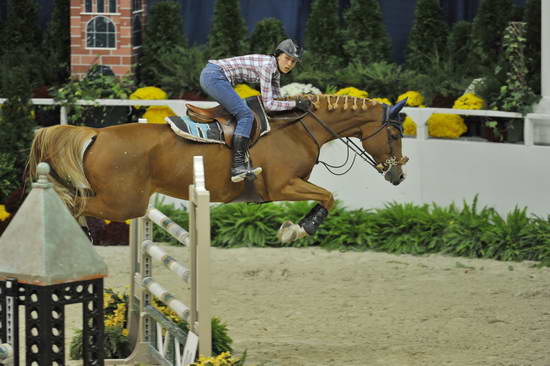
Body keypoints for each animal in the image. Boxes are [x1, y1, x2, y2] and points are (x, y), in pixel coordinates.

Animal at [29, 95, 410, 243]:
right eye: (394, 134)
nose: (398, 176)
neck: (301, 128)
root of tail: (96, 134)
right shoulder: (282, 185)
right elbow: (328, 197)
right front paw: (296, 230)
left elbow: (326, 197)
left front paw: (293, 228)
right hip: (122, 203)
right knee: (73, 201)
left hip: (121, 200)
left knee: (74, 199)